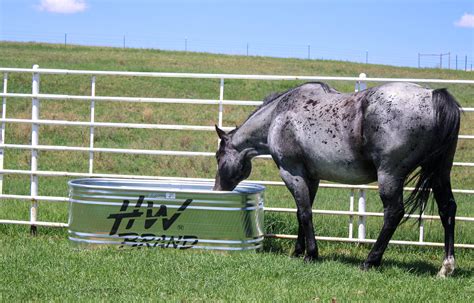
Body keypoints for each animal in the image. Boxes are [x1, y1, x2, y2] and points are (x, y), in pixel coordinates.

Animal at [213, 82, 462, 278]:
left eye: (218, 156)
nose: (218, 190)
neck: (279, 115)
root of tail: (433, 96)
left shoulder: (291, 173)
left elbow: (305, 213)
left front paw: (311, 254)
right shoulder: (310, 178)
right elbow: (302, 213)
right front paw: (298, 251)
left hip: (390, 176)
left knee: (394, 213)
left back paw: (370, 261)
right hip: (440, 173)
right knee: (447, 209)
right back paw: (446, 267)